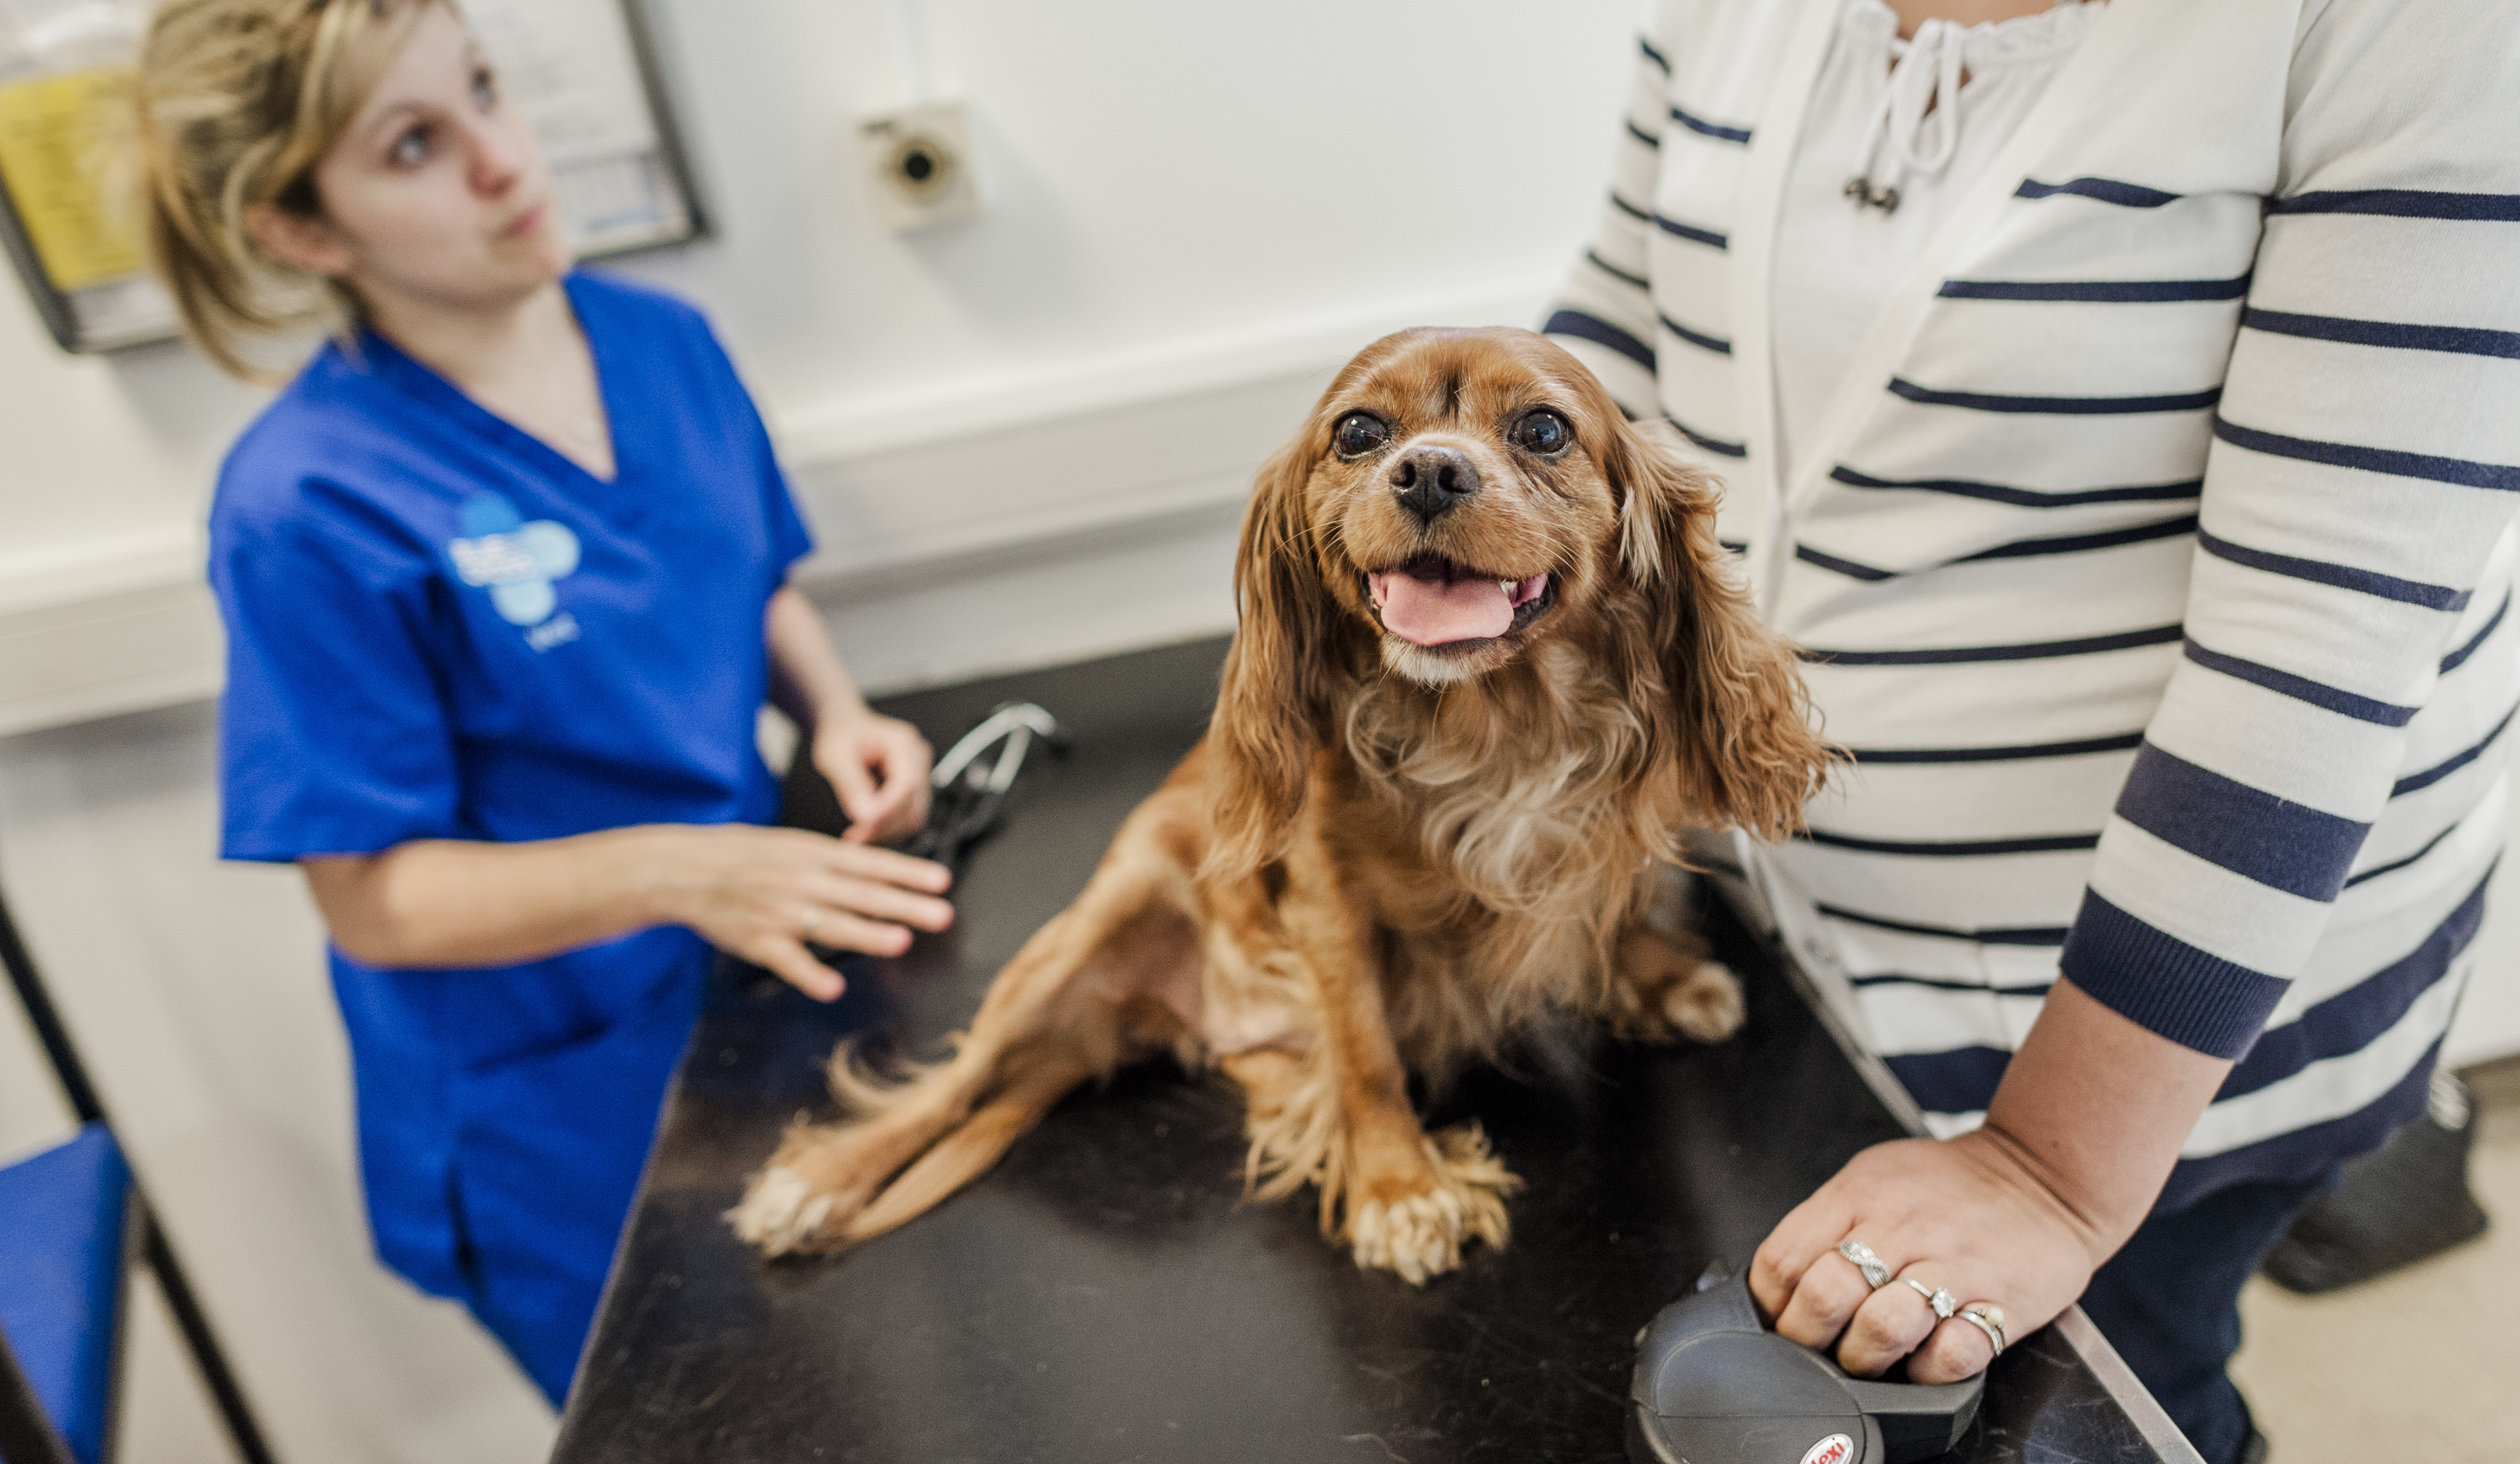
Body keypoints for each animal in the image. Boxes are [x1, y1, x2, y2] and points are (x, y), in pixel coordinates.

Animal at [731, 327, 1834, 1279]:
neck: (1490, 725)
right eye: (1358, 432)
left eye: (1544, 430)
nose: (1429, 471)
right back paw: (816, 1182)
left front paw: (1658, 977)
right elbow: (1365, 1050)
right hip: (1084, 930)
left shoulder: (1610, 829)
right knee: (956, 1080)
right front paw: (1398, 1189)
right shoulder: (1326, 901)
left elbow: (1621, 904)